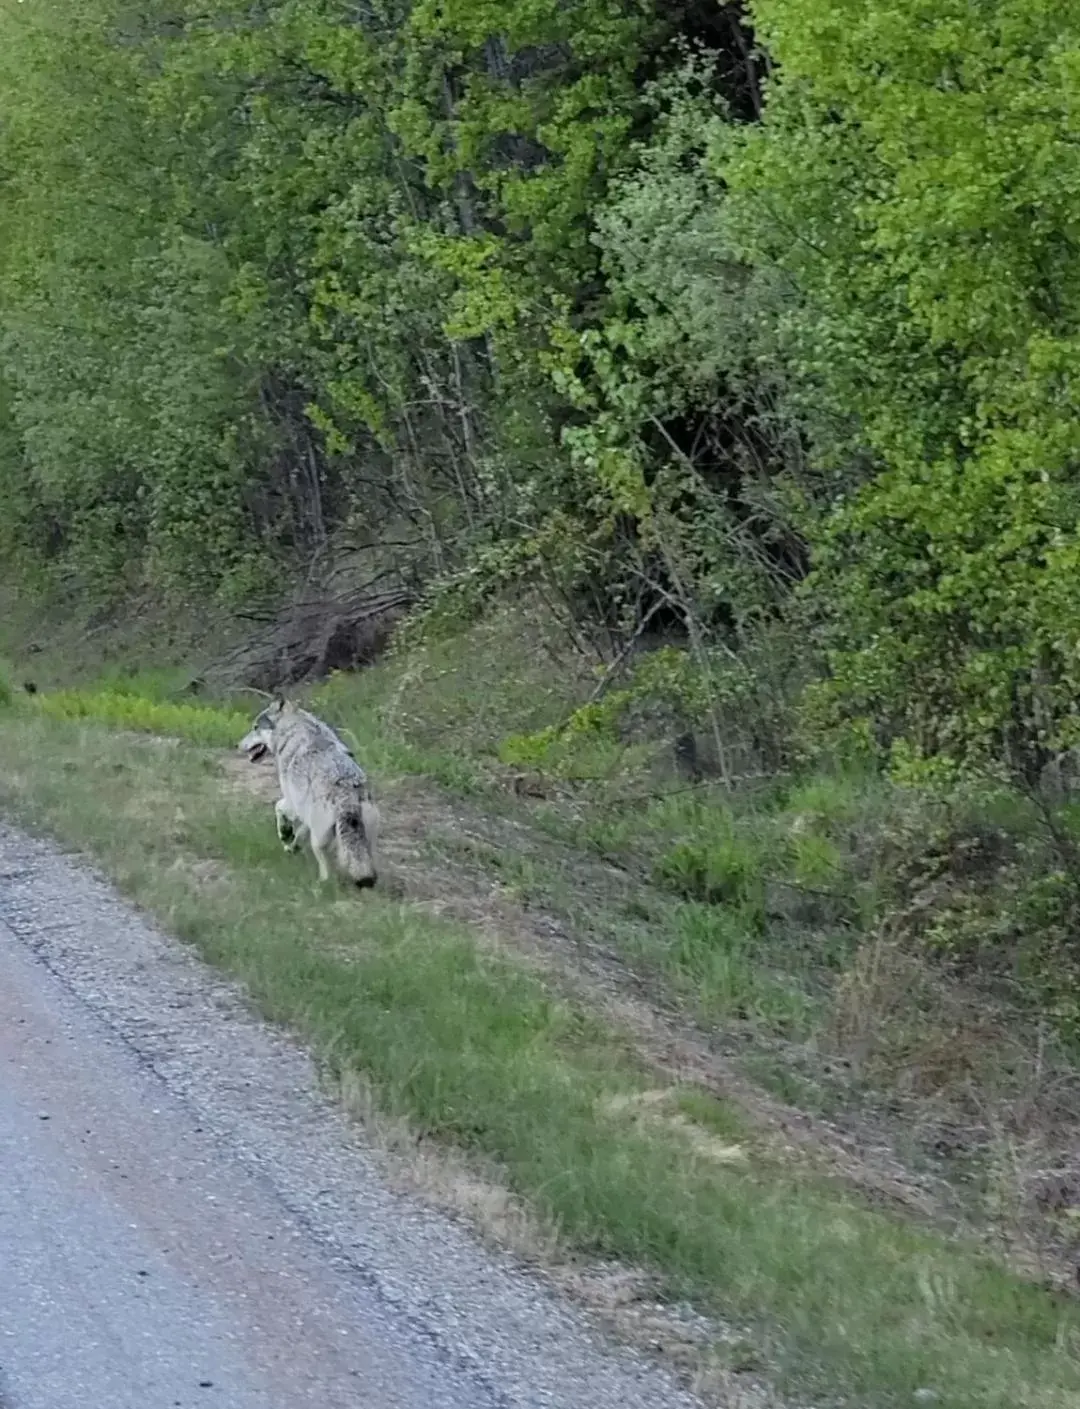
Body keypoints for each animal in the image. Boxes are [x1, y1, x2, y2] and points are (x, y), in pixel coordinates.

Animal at [239, 698, 380, 884]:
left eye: (255, 727)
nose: (238, 745)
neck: (291, 731)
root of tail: (347, 796)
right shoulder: (305, 810)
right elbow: (300, 832)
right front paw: (293, 845)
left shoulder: (292, 802)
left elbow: (278, 807)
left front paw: (286, 834)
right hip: (361, 842)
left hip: (319, 841)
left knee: (326, 868)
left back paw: (323, 883)